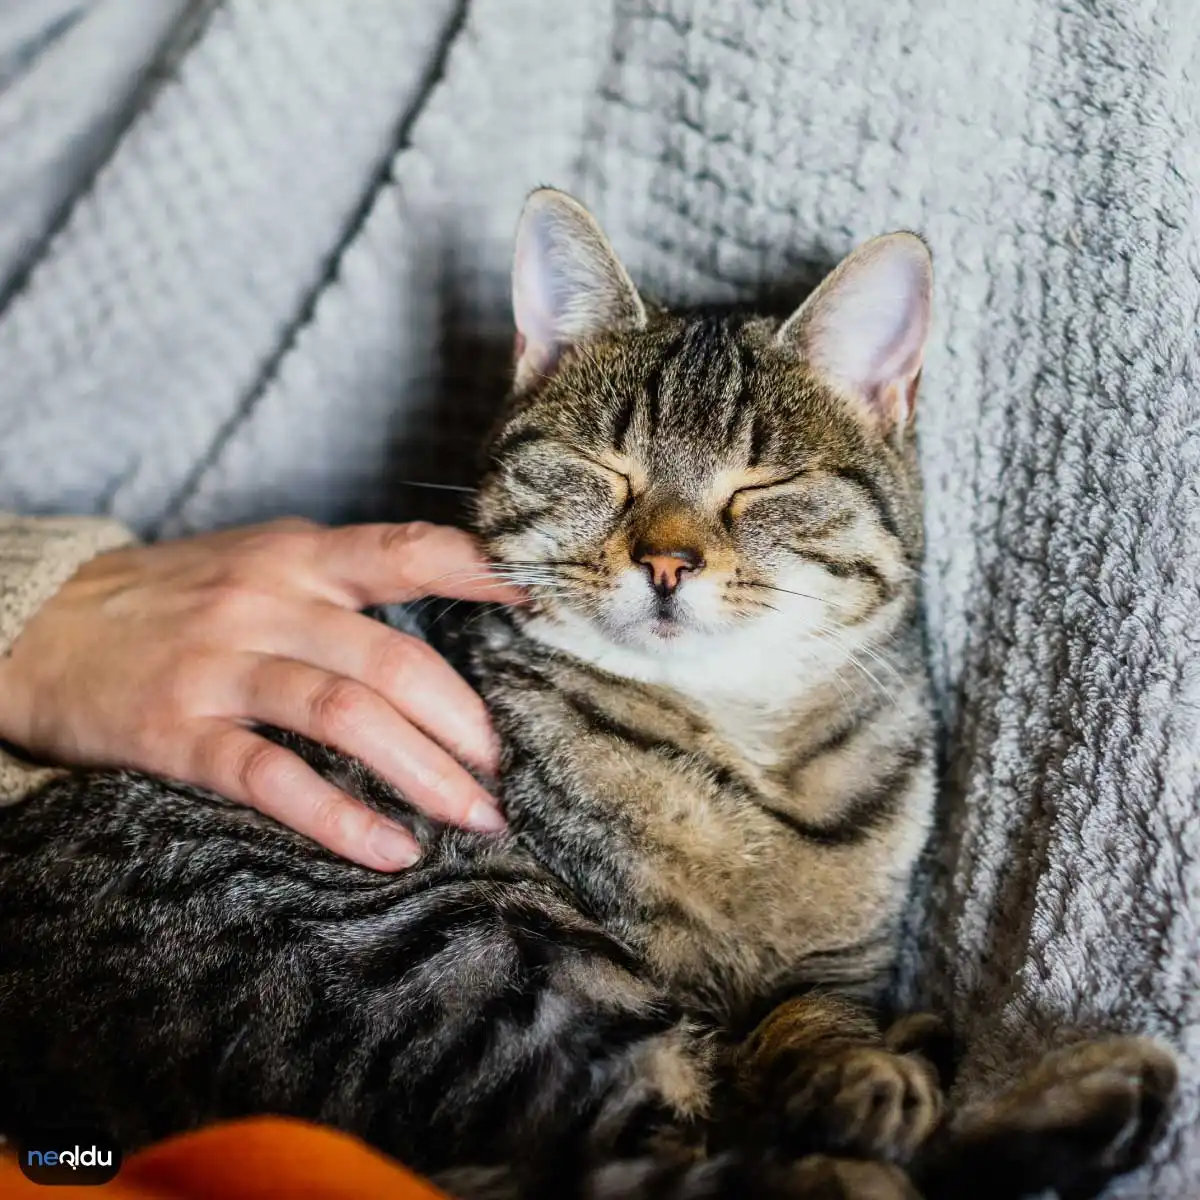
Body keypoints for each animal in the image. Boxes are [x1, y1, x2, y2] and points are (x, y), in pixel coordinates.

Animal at [0, 189, 1176, 1200]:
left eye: (761, 487)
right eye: (605, 471)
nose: (666, 561)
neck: (750, 754)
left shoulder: (841, 970)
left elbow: (812, 1022)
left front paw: (856, 1059)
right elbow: (771, 1074)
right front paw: (869, 1079)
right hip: (467, 944)